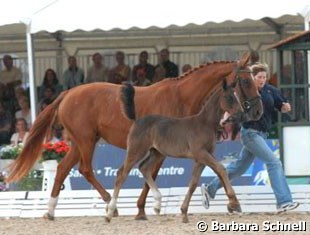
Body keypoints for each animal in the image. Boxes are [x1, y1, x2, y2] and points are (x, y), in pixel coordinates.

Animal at [106, 81, 247, 223]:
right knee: (121, 173)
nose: (242, 115)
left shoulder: (202, 158)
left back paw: (157, 205)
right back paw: (110, 213)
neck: (205, 124)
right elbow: (221, 169)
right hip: (136, 150)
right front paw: (235, 203)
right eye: (229, 97)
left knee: (143, 168)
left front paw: (184, 212)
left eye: (237, 96)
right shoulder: (201, 153)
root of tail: (137, 120)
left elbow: (194, 183)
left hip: (157, 153)